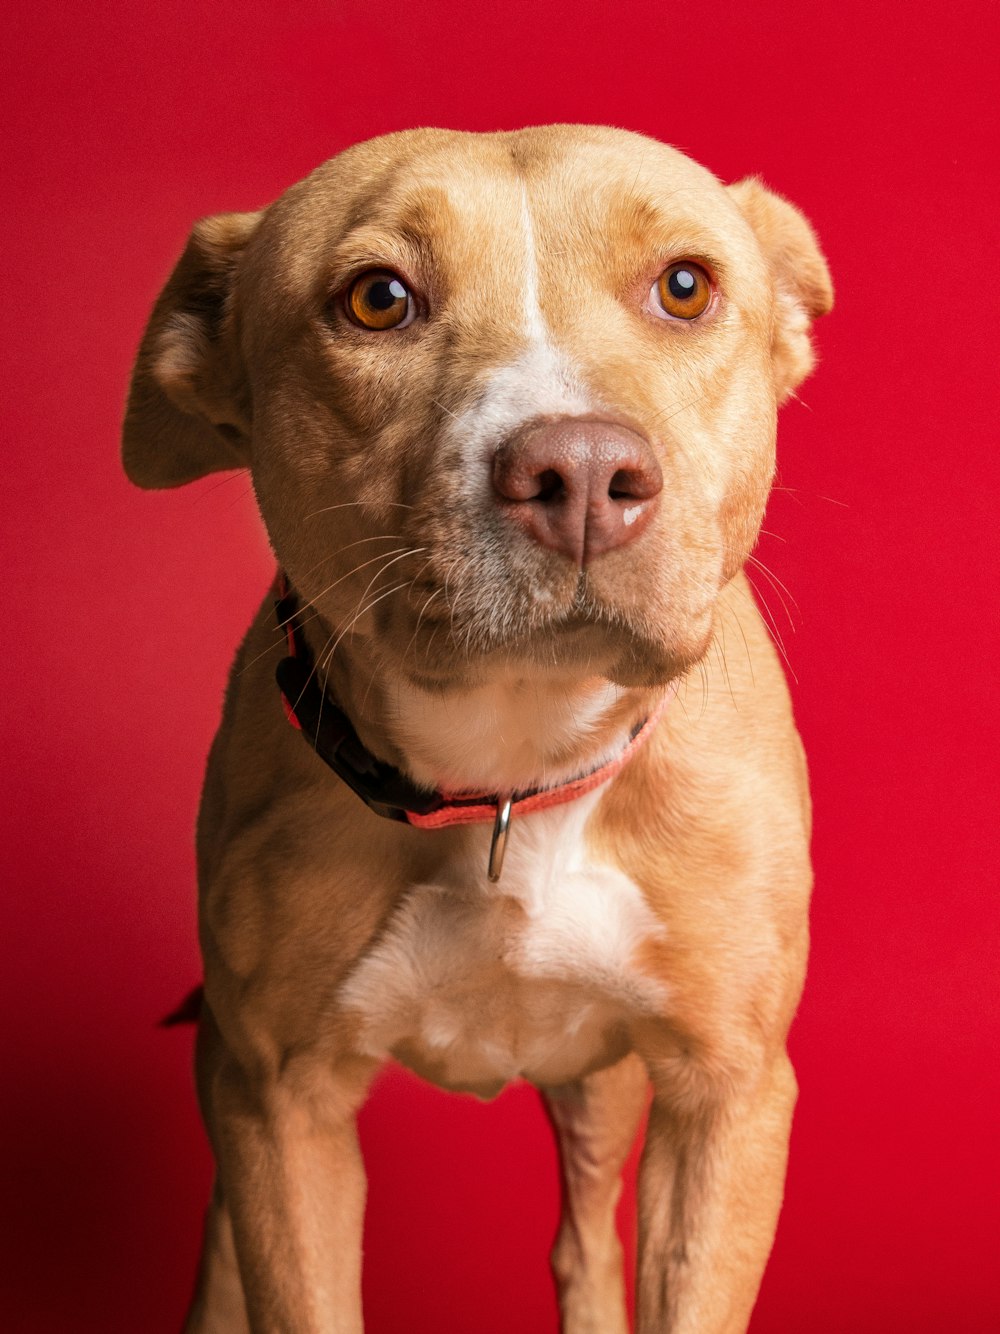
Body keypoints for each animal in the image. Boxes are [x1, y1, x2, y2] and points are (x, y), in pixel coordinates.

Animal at [121, 120, 832, 1328]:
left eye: (685, 286)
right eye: (376, 299)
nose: (581, 469)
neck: (512, 770)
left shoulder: (726, 1096)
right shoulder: (277, 1103)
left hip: (600, 1093)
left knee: (584, 1241)